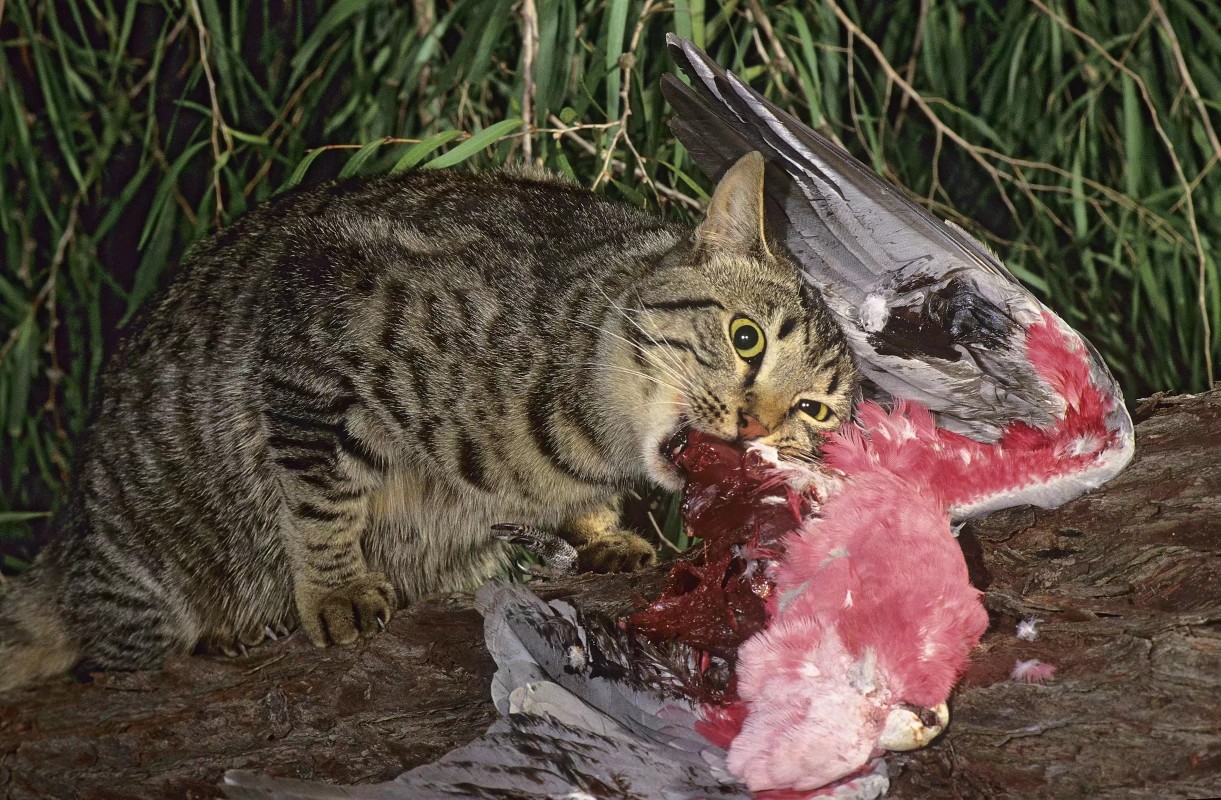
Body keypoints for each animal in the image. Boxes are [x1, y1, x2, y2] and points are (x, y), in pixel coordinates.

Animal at [0, 153, 859, 693]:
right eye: (745, 337)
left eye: (812, 412)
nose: (756, 423)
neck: (584, 436)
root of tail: (63, 552)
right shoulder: (314, 347)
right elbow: (320, 497)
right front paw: (337, 589)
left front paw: (601, 531)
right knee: (108, 655)